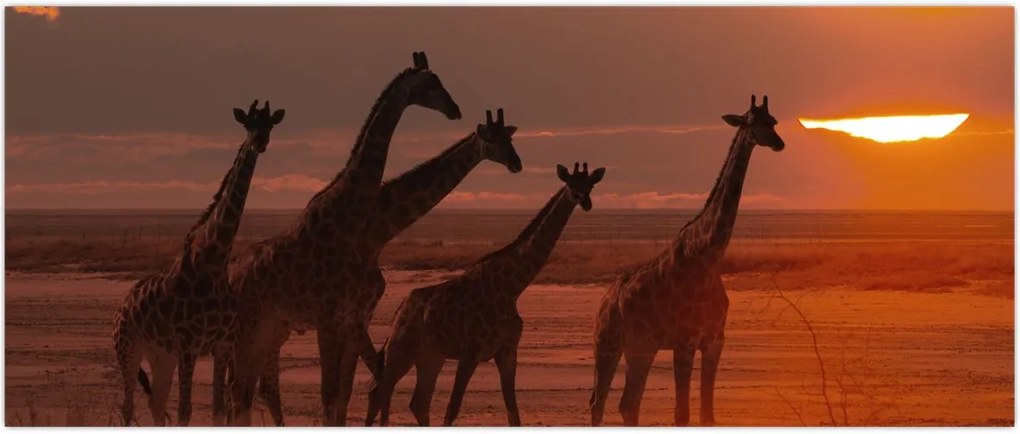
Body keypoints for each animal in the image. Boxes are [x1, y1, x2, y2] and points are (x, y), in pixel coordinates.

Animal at [111, 99, 285, 426]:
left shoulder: (221, 345)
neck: (215, 261)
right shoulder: (188, 346)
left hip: (160, 355)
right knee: (127, 407)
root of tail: (122, 305)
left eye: (270, 125)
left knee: (155, 403)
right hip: (127, 348)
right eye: (247, 124)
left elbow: (217, 410)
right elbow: (185, 411)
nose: (260, 143)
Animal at [226, 51, 462, 426]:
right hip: (249, 327)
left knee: (246, 388)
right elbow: (330, 394)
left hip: (268, 327)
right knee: (239, 388)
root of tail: (232, 275)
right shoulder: (330, 319)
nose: (455, 109)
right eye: (430, 84)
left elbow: (341, 395)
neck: (348, 218)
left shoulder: (347, 318)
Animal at [365, 162, 606, 427]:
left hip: (431, 356)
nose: (584, 201)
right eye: (571, 184)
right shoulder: (470, 352)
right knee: (379, 392)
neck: (512, 288)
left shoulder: (507, 351)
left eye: (590, 184)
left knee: (417, 402)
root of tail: (400, 310)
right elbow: (452, 409)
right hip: (402, 350)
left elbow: (513, 413)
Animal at [589, 95, 786, 427]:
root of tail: (605, 297)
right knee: (597, 402)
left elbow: (708, 414)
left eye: (773, 121)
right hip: (607, 341)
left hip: (640, 347)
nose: (778, 143)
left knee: (629, 404)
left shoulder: (715, 341)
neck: (708, 257)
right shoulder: (684, 341)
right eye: (750, 122)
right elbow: (682, 414)